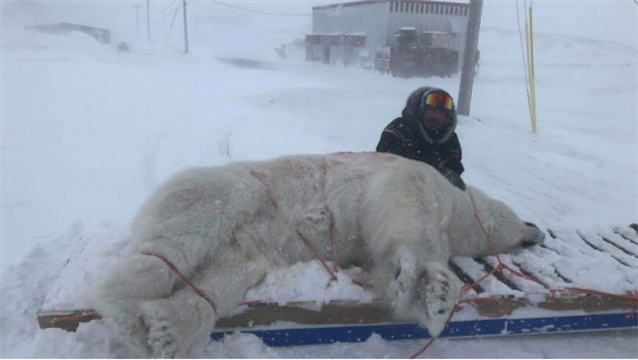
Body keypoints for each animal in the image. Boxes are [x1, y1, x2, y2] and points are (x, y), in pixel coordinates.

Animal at [94, 152, 544, 358]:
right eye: (518, 216)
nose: (536, 230)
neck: (455, 207)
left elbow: (381, 258)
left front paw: (427, 295)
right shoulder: (409, 178)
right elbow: (406, 218)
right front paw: (430, 287)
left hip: (250, 241)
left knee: (231, 271)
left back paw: (167, 327)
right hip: (232, 191)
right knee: (178, 240)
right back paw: (127, 313)